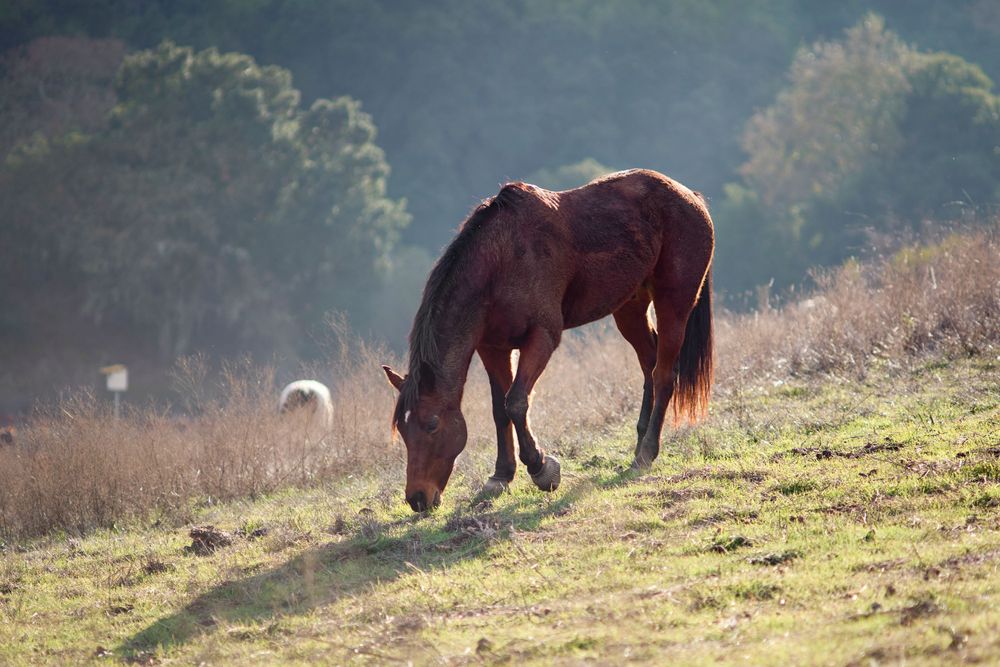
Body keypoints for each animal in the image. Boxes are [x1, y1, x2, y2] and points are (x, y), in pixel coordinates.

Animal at [383, 169, 714, 512]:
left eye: (432, 424)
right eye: (403, 429)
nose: (417, 498)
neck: (501, 260)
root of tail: (690, 196)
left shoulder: (541, 338)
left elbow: (516, 402)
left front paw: (542, 468)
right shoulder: (493, 348)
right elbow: (499, 409)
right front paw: (501, 475)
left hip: (674, 303)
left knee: (664, 375)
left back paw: (646, 452)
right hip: (630, 308)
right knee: (649, 364)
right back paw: (639, 444)